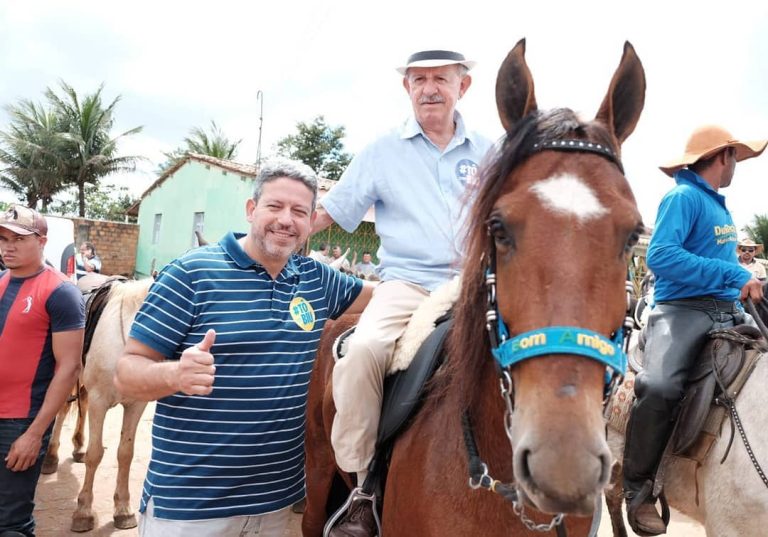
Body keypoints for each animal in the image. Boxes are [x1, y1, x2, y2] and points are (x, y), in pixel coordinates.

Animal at [42, 276, 153, 532]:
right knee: (62, 408)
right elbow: (95, 454)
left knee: (81, 401)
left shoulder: (136, 405)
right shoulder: (99, 401)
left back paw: (78, 447)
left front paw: (123, 510)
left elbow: (125, 453)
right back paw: (51, 457)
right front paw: (83, 512)